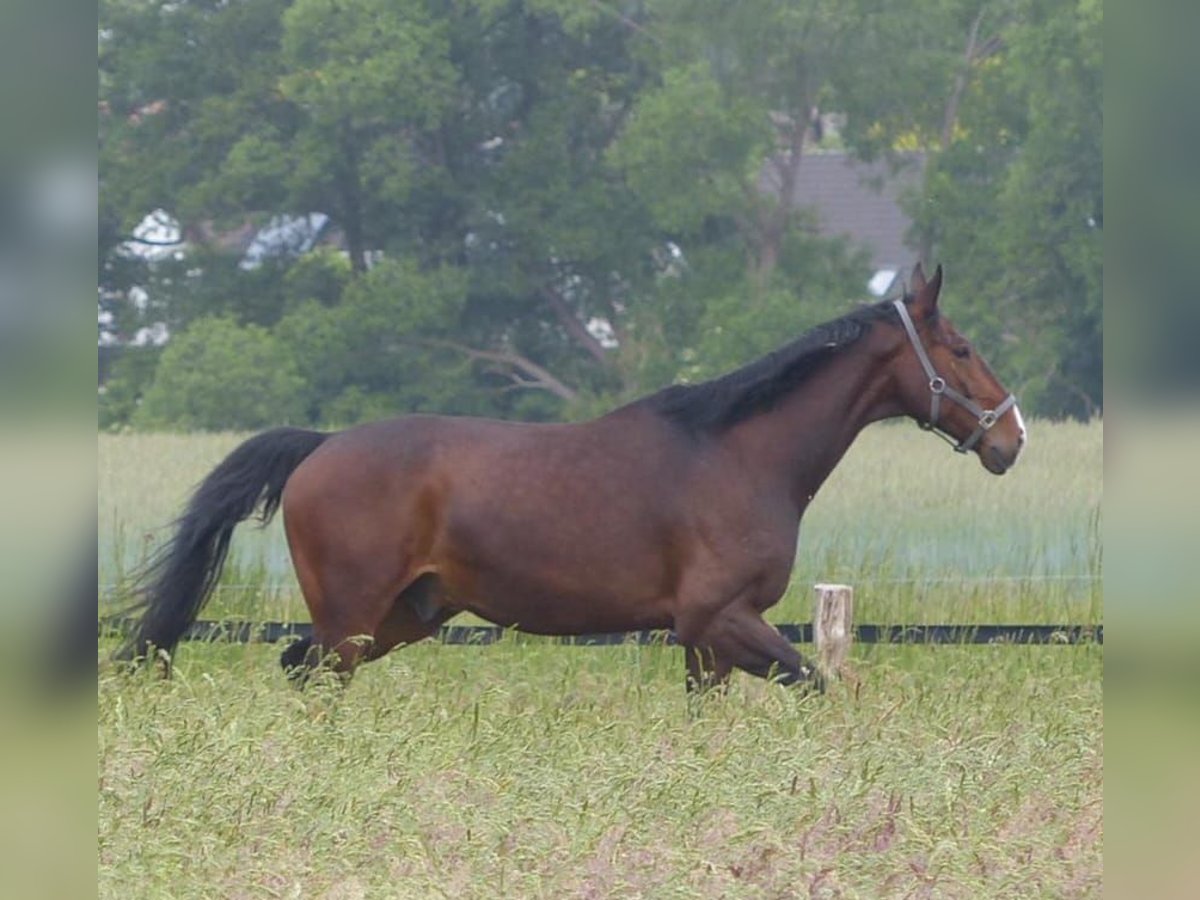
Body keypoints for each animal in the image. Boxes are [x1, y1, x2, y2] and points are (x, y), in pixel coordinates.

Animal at [117, 264, 1027, 696]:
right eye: (961, 349)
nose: (1011, 437)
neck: (738, 454)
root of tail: (322, 445)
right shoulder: (723, 619)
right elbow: (818, 685)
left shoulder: (705, 640)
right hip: (351, 616)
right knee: (313, 677)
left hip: (403, 615)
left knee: (297, 667)